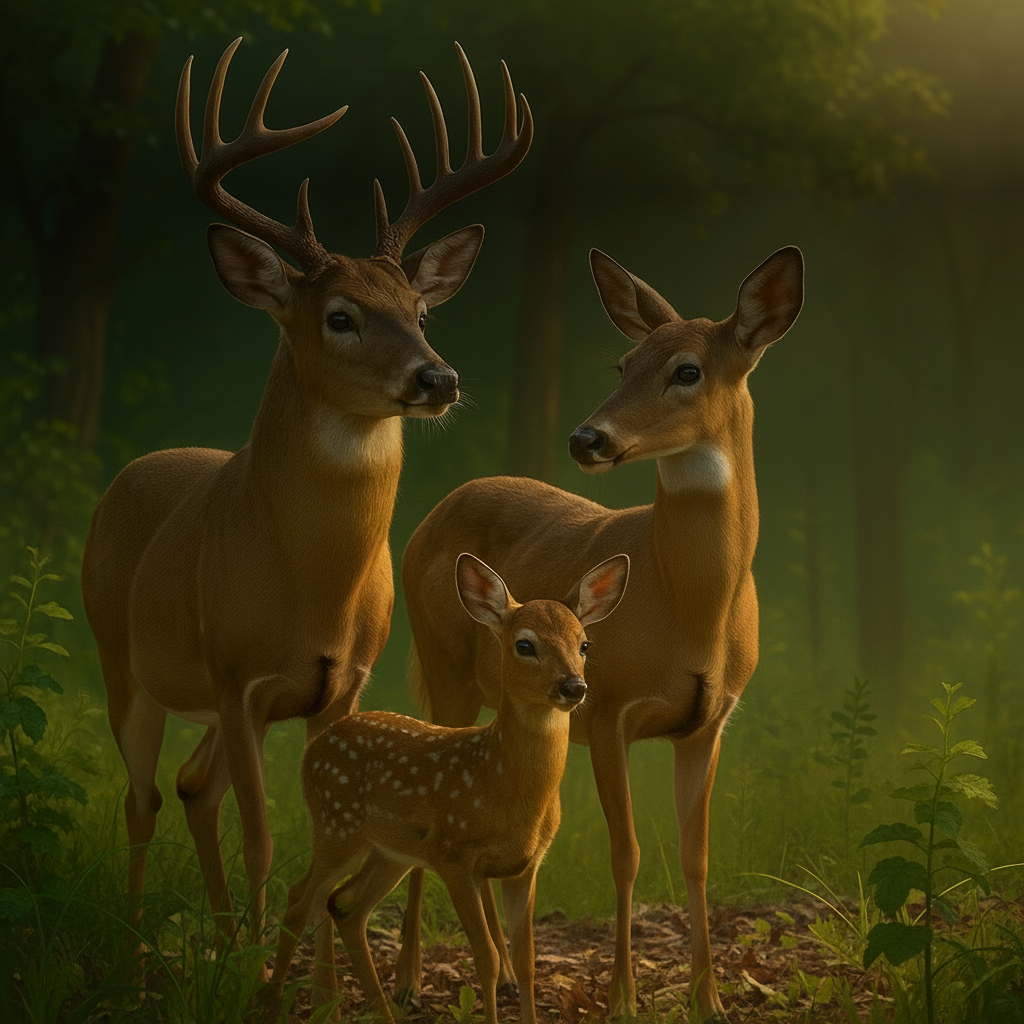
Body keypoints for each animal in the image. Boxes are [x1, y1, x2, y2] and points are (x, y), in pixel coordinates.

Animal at [79, 37, 532, 971]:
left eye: (422, 307)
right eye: (340, 315)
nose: (438, 378)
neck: (313, 584)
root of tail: (129, 473)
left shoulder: (340, 684)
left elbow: (325, 834)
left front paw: (298, 970)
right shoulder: (236, 675)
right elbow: (261, 836)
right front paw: (258, 970)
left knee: (191, 785)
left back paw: (220, 938)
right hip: (120, 659)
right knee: (143, 797)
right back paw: (139, 954)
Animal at [264, 551, 630, 1024]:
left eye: (584, 645)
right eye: (525, 645)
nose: (574, 686)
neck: (502, 784)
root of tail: (312, 749)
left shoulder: (525, 866)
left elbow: (527, 961)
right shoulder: (454, 855)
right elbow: (487, 957)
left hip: (391, 850)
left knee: (345, 906)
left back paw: (382, 1012)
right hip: (336, 825)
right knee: (298, 899)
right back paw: (270, 1003)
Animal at [393, 246, 805, 1020]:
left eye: (686, 370)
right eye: (623, 363)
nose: (587, 438)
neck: (689, 607)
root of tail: (435, 510)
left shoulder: (710, 720)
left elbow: (697, 857)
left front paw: (709, 999)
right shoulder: (610, 707)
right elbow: (628, 853)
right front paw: (622, 998)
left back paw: (504, 974)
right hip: (442, 665)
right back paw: (406, 980)